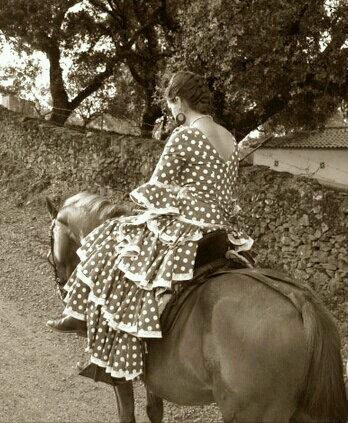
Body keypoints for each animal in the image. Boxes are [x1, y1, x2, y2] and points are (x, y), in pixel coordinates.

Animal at [47, 193, 348, 423]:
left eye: (51, 243)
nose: (62, 287)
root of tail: (301, 302)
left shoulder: (118, 375)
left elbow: (127, 415)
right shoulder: (151, 379)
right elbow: (154, 411)